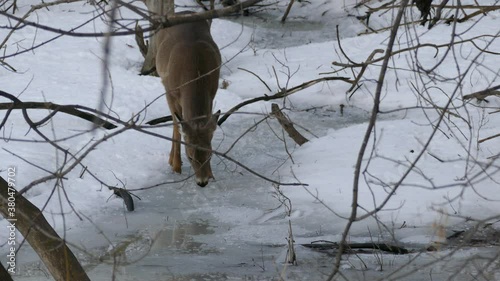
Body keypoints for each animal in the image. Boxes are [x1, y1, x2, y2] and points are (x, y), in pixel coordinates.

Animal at [153, 12, 222, 186]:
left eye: (210, 154)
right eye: (190, 156)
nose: (202, 182)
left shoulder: (212, 92)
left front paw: (211, 174)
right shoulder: (170, 92)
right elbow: (177, 127)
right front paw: (176, 166)